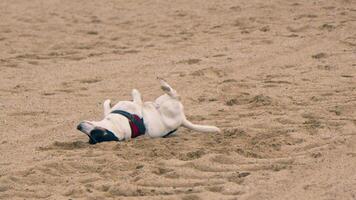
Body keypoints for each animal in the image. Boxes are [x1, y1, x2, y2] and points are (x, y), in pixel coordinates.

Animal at [78, 78, 220, 144]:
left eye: (92, 134)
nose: (78, 126)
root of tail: (182, 120)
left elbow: (106, 105)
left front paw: (108, 101)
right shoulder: (134, 106)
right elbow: (135, 95)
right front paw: (137, 95)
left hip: (162, 101)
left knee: (173, 95)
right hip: (168, 105)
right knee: (175, 95)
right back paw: (163, 85)